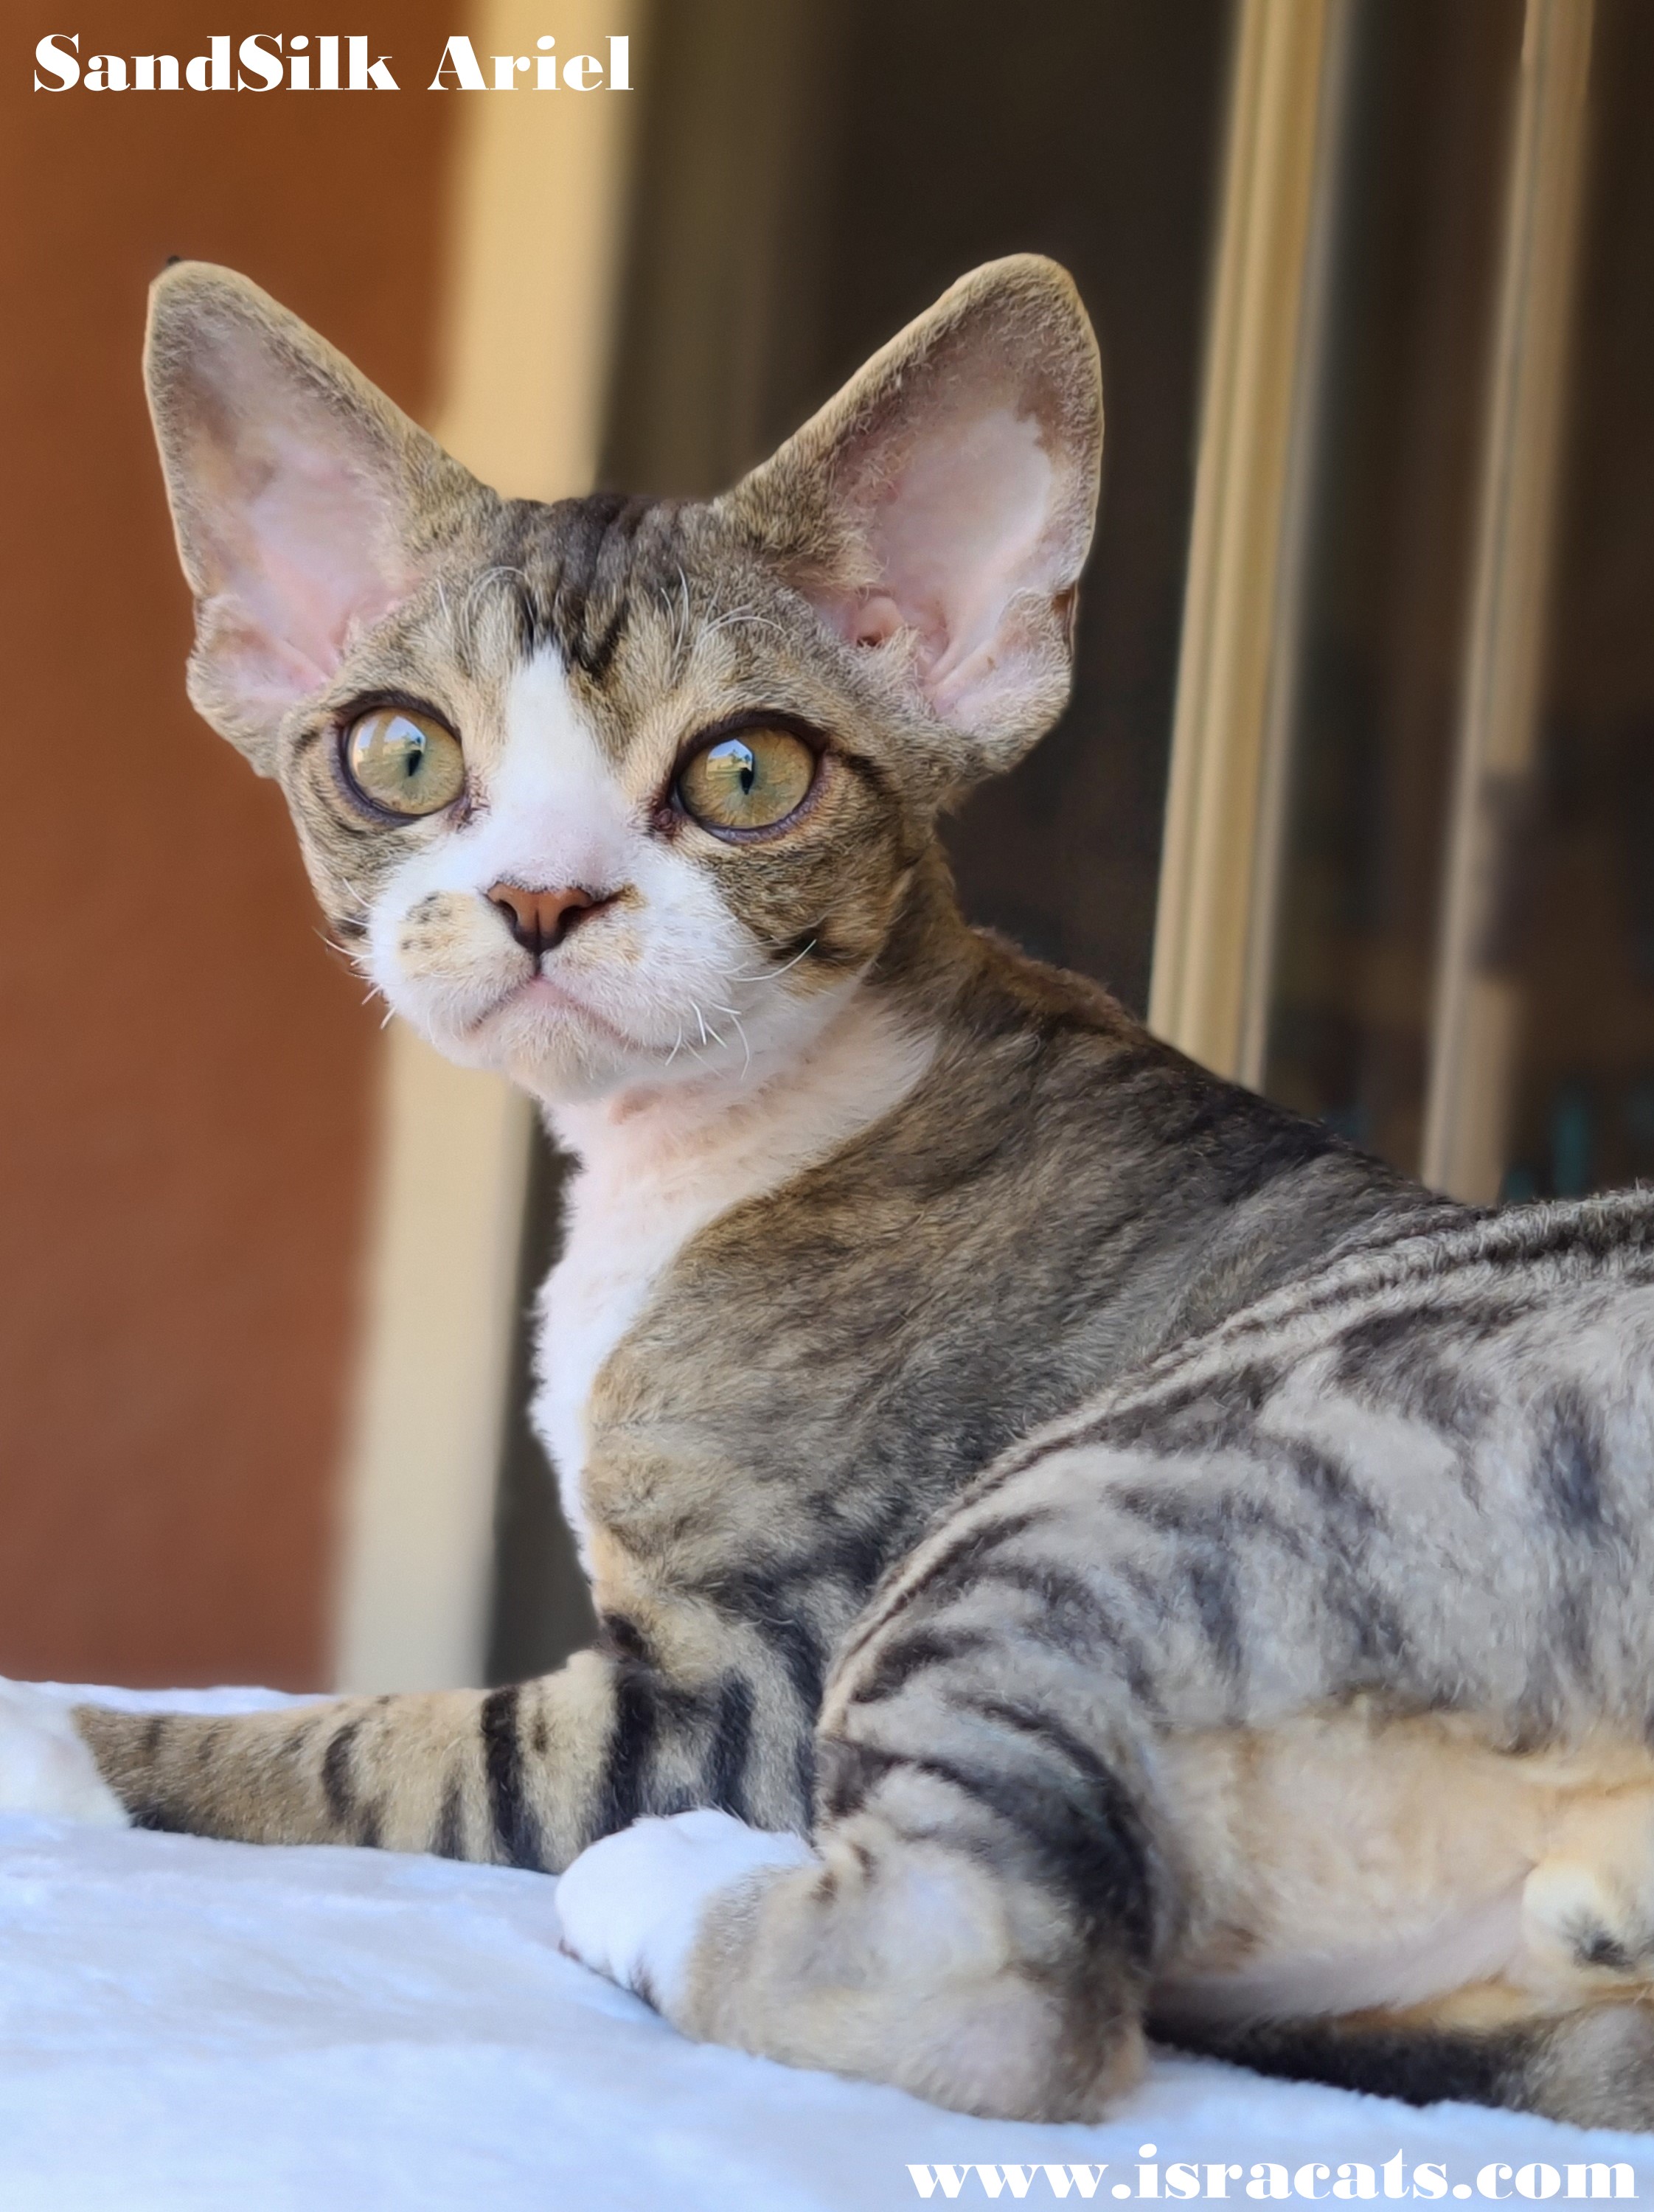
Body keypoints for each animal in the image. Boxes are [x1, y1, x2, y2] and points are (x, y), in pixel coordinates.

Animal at [3, 251, 1654, 2132]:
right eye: (400, 757)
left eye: (745, 773)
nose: (544, 895)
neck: (683, 1157)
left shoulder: (745, 1694)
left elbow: (401, 1740)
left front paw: (53, 1739)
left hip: (1085, 1502)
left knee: (991, 1980)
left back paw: (675, 1889)